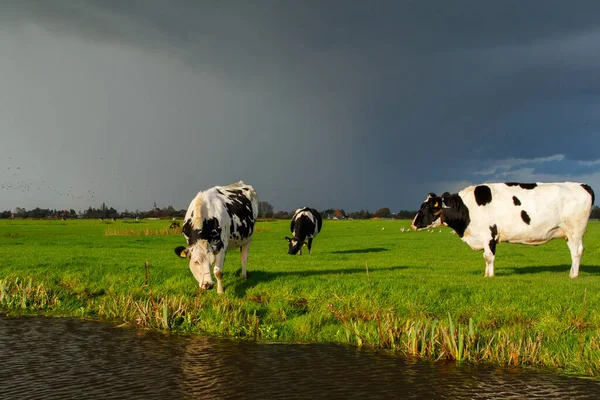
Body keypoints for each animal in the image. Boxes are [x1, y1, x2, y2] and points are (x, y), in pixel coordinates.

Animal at [410, 182, 592, 278]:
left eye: (425, 207)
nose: (413, 223)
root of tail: (582, 185)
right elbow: (486, 257)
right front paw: (487, 274)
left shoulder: (489, 235)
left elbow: (488, 257)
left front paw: (489, 276)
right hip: (569, 234)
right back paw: (571, 272)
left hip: (575, 231)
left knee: (577, 251)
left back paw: (573, 276)